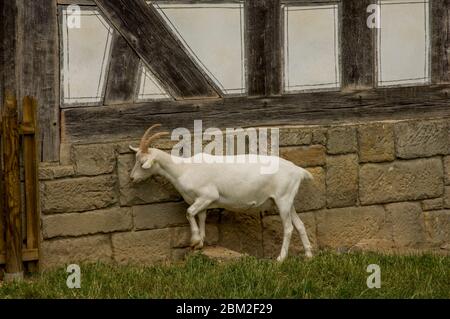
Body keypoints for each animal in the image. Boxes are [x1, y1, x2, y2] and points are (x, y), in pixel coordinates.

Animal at [130, 124, 312, 262]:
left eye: (141, 162)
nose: (132, 178)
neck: (183, 169)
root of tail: (299, 171)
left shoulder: (208, 195)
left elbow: (189, 213)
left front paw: (194, 240)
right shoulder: (201, 201)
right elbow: (201, 217)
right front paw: (200, 242)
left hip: (283, 199)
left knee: (288, 228)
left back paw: (280, 259)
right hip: (287, 200)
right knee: (300, 225)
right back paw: (309, 256)